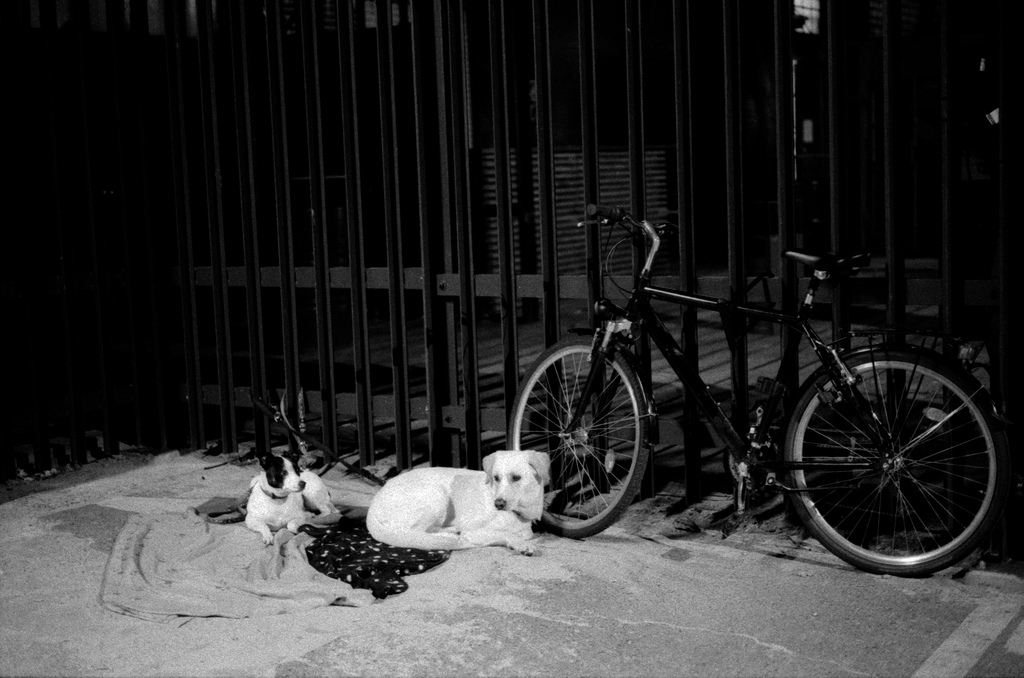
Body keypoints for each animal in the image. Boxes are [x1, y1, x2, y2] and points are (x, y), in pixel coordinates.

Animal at [364, 450, 548, 557]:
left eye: (516, 477)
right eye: (496, 478)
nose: (498, 504)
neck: (518, 513)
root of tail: (372, 508)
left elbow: (522, 533)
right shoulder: (474, 532)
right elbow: (506, 534)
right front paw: (522, 545)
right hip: (436, 494)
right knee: (413, 533)